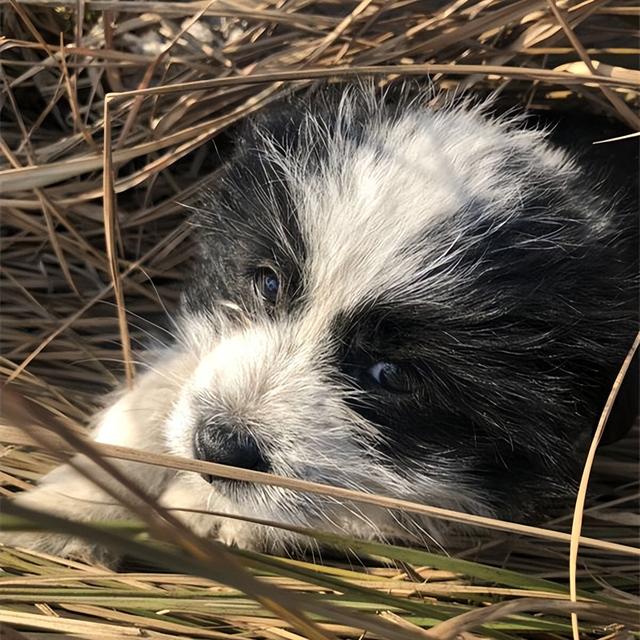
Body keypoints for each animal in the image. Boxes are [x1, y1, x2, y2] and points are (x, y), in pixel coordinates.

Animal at [2, 84, 636, 560]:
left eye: (392, 374)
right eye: (267, 282)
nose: (218, 445)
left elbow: (392, 502)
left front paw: (209, 510)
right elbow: (159, 392)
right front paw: (71, 506)